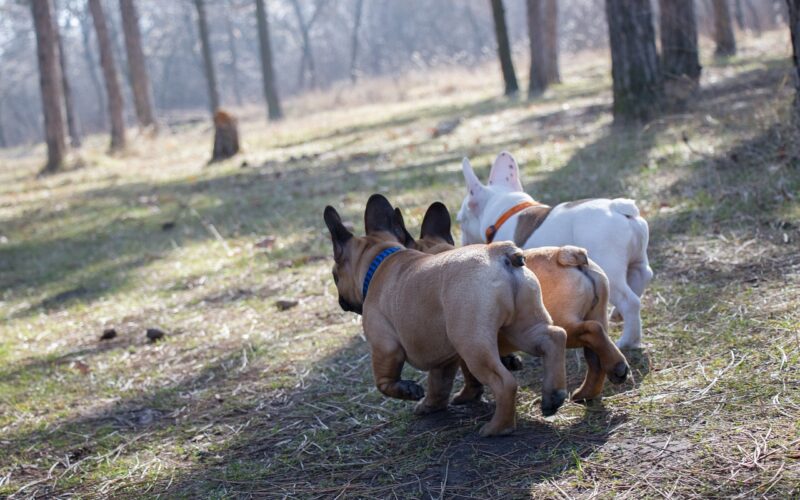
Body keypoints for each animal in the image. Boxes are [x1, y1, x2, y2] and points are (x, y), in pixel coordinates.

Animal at [324, 193, 568, 436]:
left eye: (335, 276)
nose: (340, 301)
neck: (380, 261)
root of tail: (500, 252)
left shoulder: (385, 347)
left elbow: (384, 382)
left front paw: (408, 391)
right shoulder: (443, 359)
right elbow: (438, 384)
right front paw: (432, 405)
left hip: (473, 344)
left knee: (504, 382)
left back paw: (498, 427)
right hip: (523, 326)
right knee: (553, 337)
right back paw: (553, 395)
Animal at [396, 201, 632, 400]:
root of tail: (566, 254)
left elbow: (470, 375)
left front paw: (465, 397)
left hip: (563, 323)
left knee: (590, 331)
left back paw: (614, 368)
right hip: (597, 313)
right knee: (595, 357)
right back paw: (591, 389)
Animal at [456, 151, 648, 348]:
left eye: (460, 221)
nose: (461, 241)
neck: (505, 211)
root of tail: (618, 208)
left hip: (609, 267)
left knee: (630, 301)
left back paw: (628, 341)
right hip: (638, 260)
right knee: (643, 277)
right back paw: (618, 314)